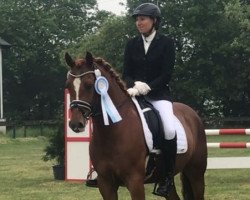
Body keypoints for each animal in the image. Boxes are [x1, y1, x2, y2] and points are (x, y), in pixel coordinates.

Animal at [65, 52, 207, 200]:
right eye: (67, 85)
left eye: (89, 85)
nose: (75, 124)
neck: (112, 133)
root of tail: (192, 113)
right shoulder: (106, 183)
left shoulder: (135, 181)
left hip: (196, 173)